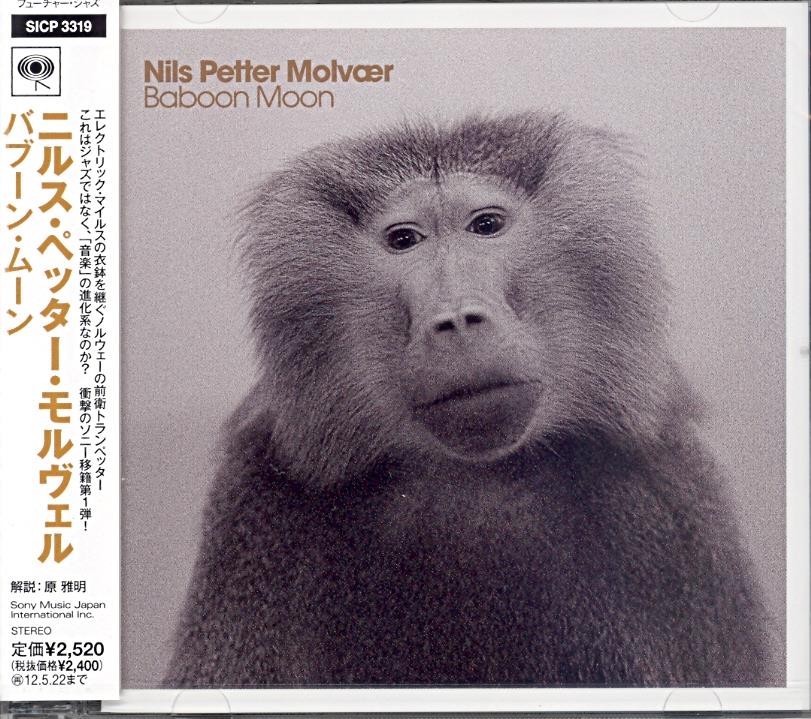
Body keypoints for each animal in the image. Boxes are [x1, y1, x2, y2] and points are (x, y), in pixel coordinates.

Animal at [165, 113, 775, 688]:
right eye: (404, 240)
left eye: (486, 226)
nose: (457, 318)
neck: (476, 476)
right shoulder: (259, 507)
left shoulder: (665, 504)